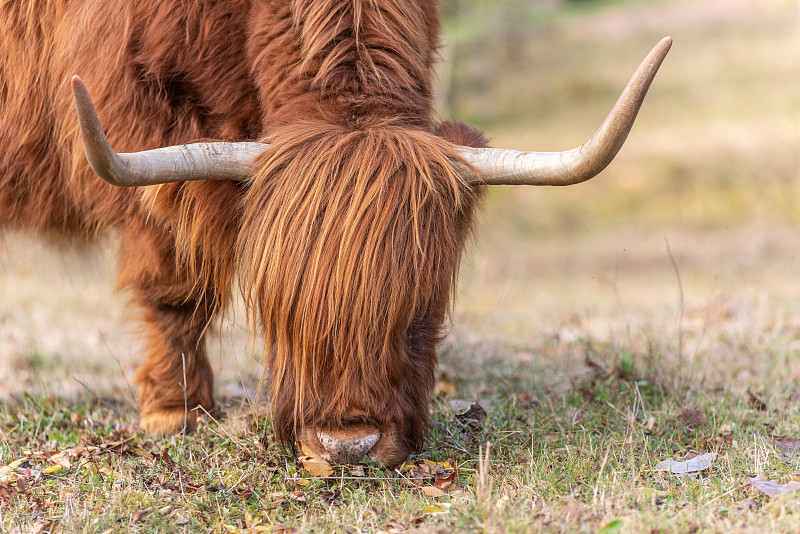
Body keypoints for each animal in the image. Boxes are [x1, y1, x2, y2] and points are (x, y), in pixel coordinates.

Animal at [0, 0, 672, 468]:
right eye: (279, 314)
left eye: (421, 315)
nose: (349, 445)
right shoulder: (139, 132)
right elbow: (177, 287)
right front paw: (177, 412)